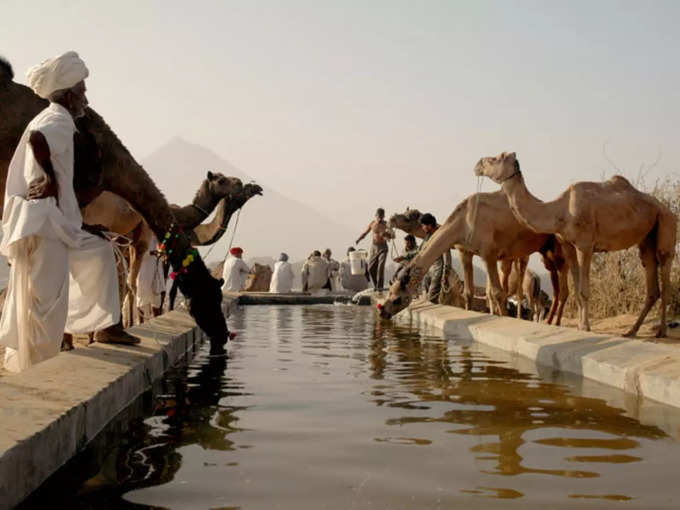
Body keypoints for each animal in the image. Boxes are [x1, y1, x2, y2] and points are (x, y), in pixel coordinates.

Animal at [476, 151, 676, 338]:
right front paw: (581, 326)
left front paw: (586, 327)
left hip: (666, 222)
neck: (560, 210)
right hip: (647, 237)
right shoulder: (568, 246)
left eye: (496, 158)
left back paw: (662, 331)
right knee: (651, 277)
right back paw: (632, 331)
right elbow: (577, 289)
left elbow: (584, 290)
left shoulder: (585, 245)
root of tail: (665, 208)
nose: (478, 164)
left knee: (665, 270)